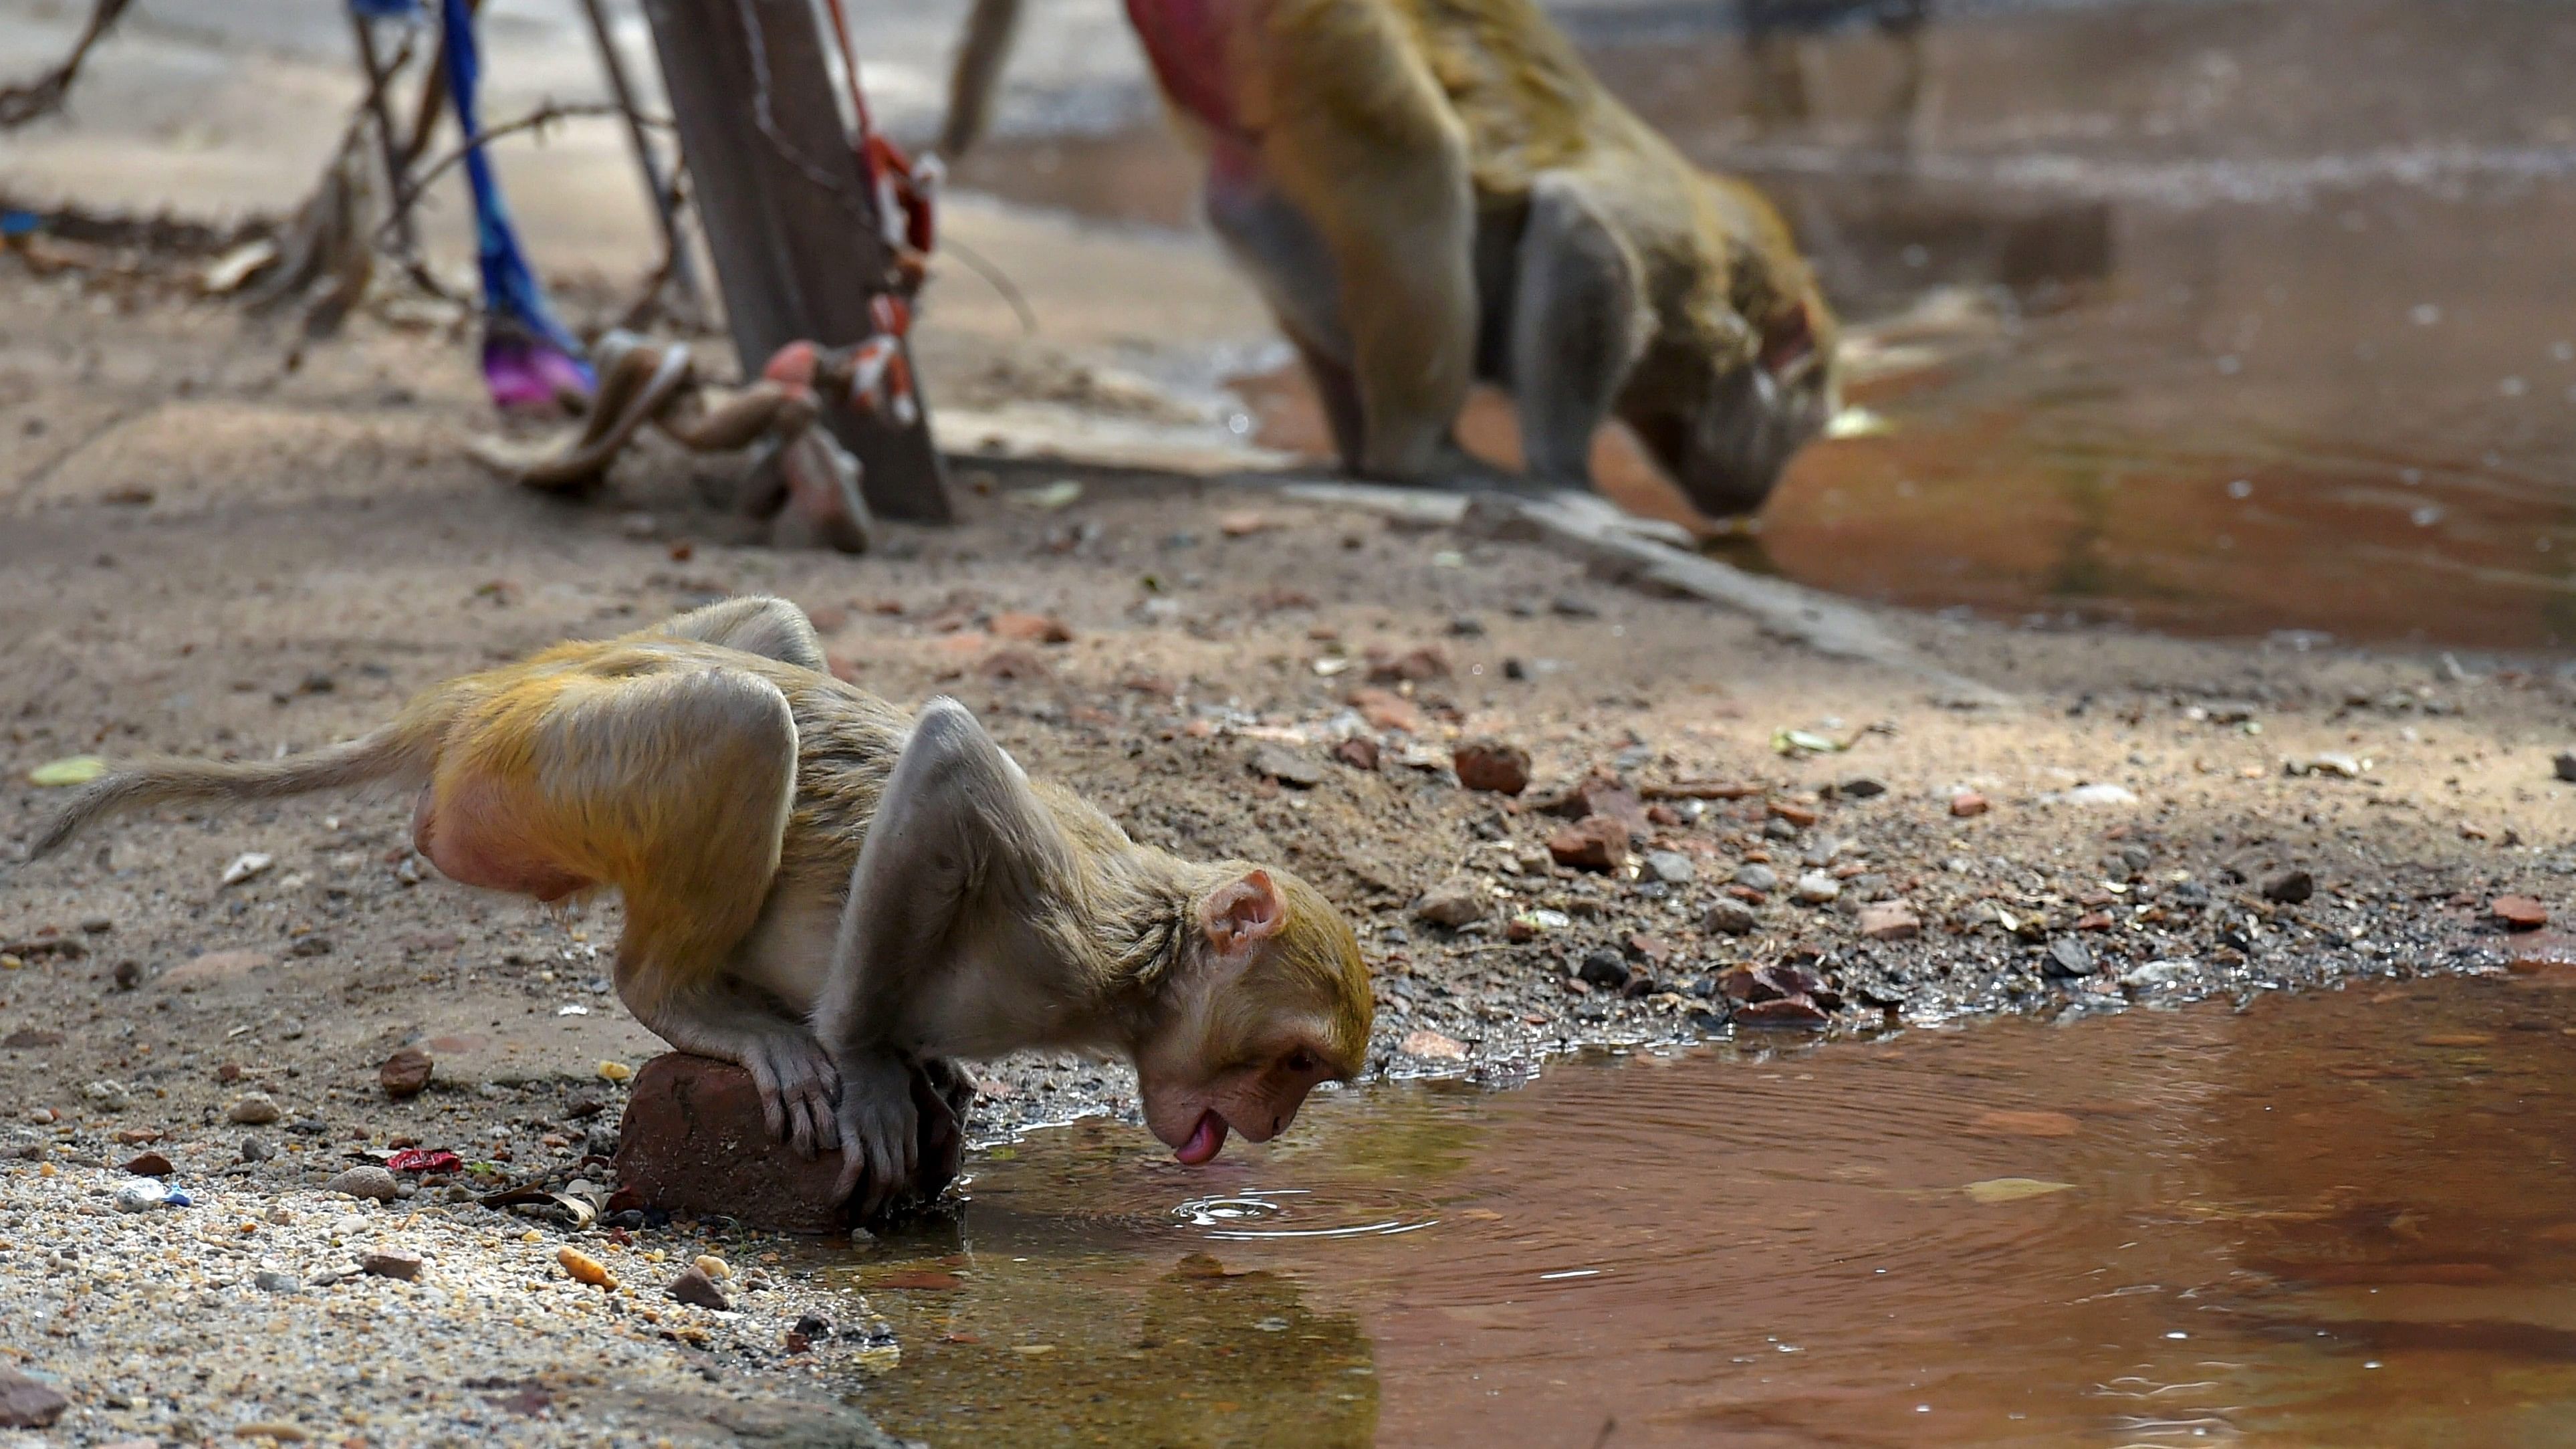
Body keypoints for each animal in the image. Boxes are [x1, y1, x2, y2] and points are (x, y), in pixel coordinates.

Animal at [35, 595, 1370, 1206]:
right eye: (1298, 1063)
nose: (1275, 1125)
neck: (1144, 967)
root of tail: (492, 691)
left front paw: (920, 1065)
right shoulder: (1066, 932)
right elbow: (944, 760)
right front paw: (871, 1062)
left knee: (773, 633)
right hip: (545, 765)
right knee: (746, 717)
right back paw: (692, 997)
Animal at [937, 0, 1844, 513]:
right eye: (1805, 429)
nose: (1755, 497)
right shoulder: (1672, 256)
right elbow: (1577, 232)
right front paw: (1567, 478)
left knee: (1251, 199)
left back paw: (1361, 440)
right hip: (1319, 19)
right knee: (1413, 161)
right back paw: (1416, 454)